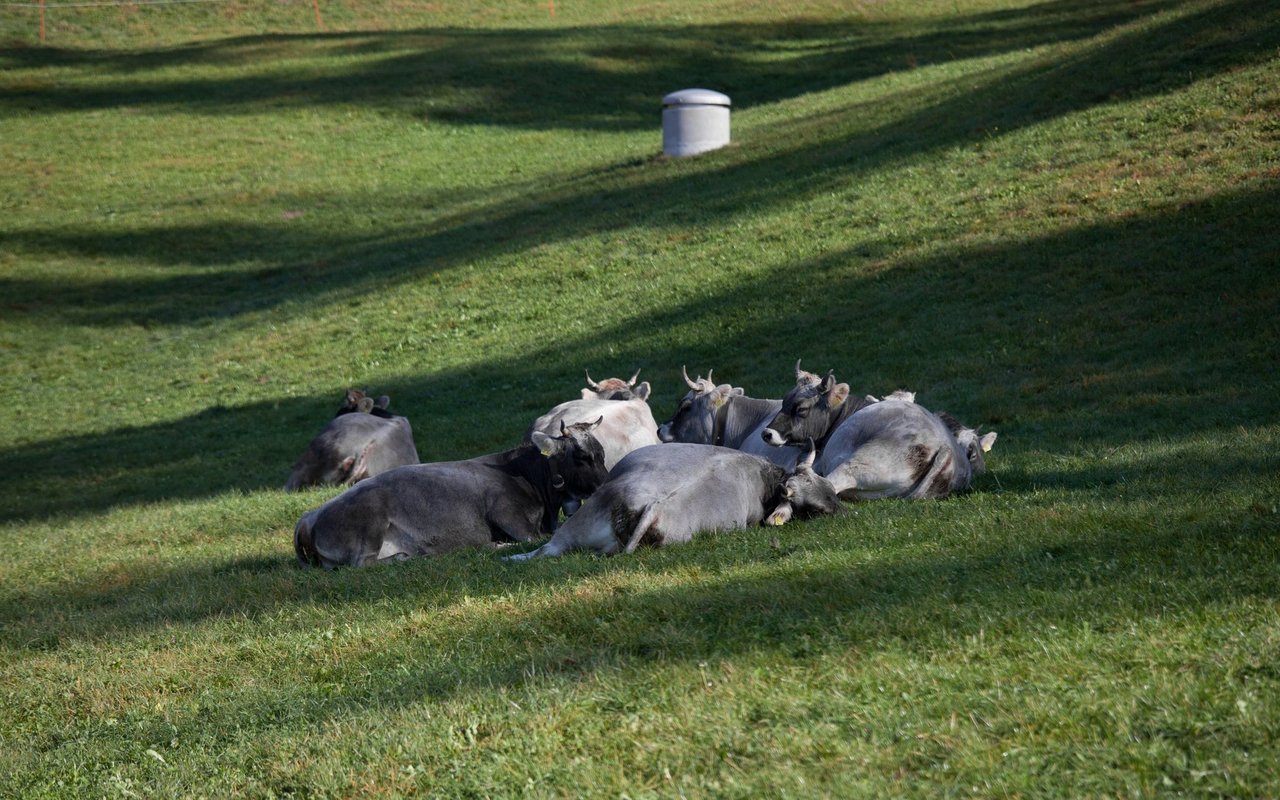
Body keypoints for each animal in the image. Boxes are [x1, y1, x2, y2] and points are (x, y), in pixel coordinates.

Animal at [294, 417, 609, 568]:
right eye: (582, 457)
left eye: (602, 453)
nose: (606, 483)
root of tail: (311, 516)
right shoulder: (507, 514)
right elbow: (534, 538)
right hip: (370, 521)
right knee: (362, 564)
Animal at [504, 437, 844, 560]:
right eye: (816, 509)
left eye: (829, 488)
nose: (843, 512)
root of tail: (652, 503)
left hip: (579, 525)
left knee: (547, 550)